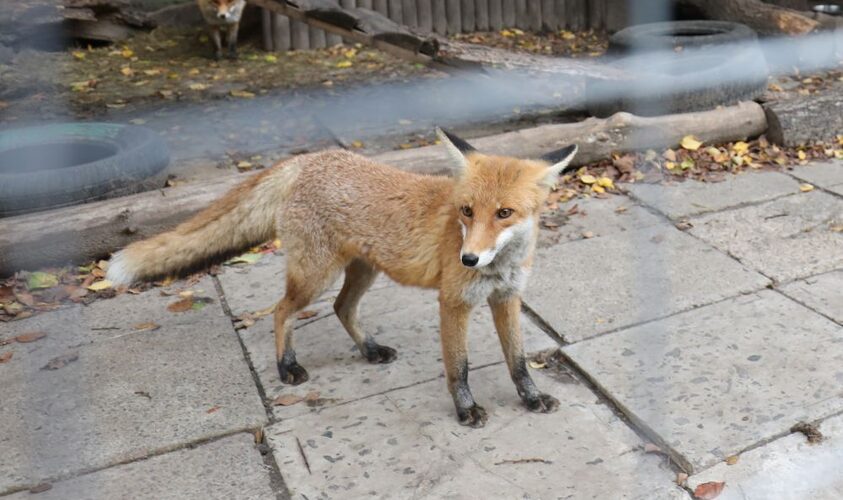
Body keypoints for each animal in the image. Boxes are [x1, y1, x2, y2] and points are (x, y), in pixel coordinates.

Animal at [106, 129, 578, 427]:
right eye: (466, 211)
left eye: (504, 213)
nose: (468, 259)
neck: (500, 266)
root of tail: (307, 160)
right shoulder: (453, 303)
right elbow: (459, 369)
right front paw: (466, 411)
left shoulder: (506, 298)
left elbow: (518, 361)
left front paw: (531, 399)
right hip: (316, 275)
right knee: (281, 311)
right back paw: (287, 366)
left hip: (362, 271)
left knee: (341, 308)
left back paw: (369, 350)